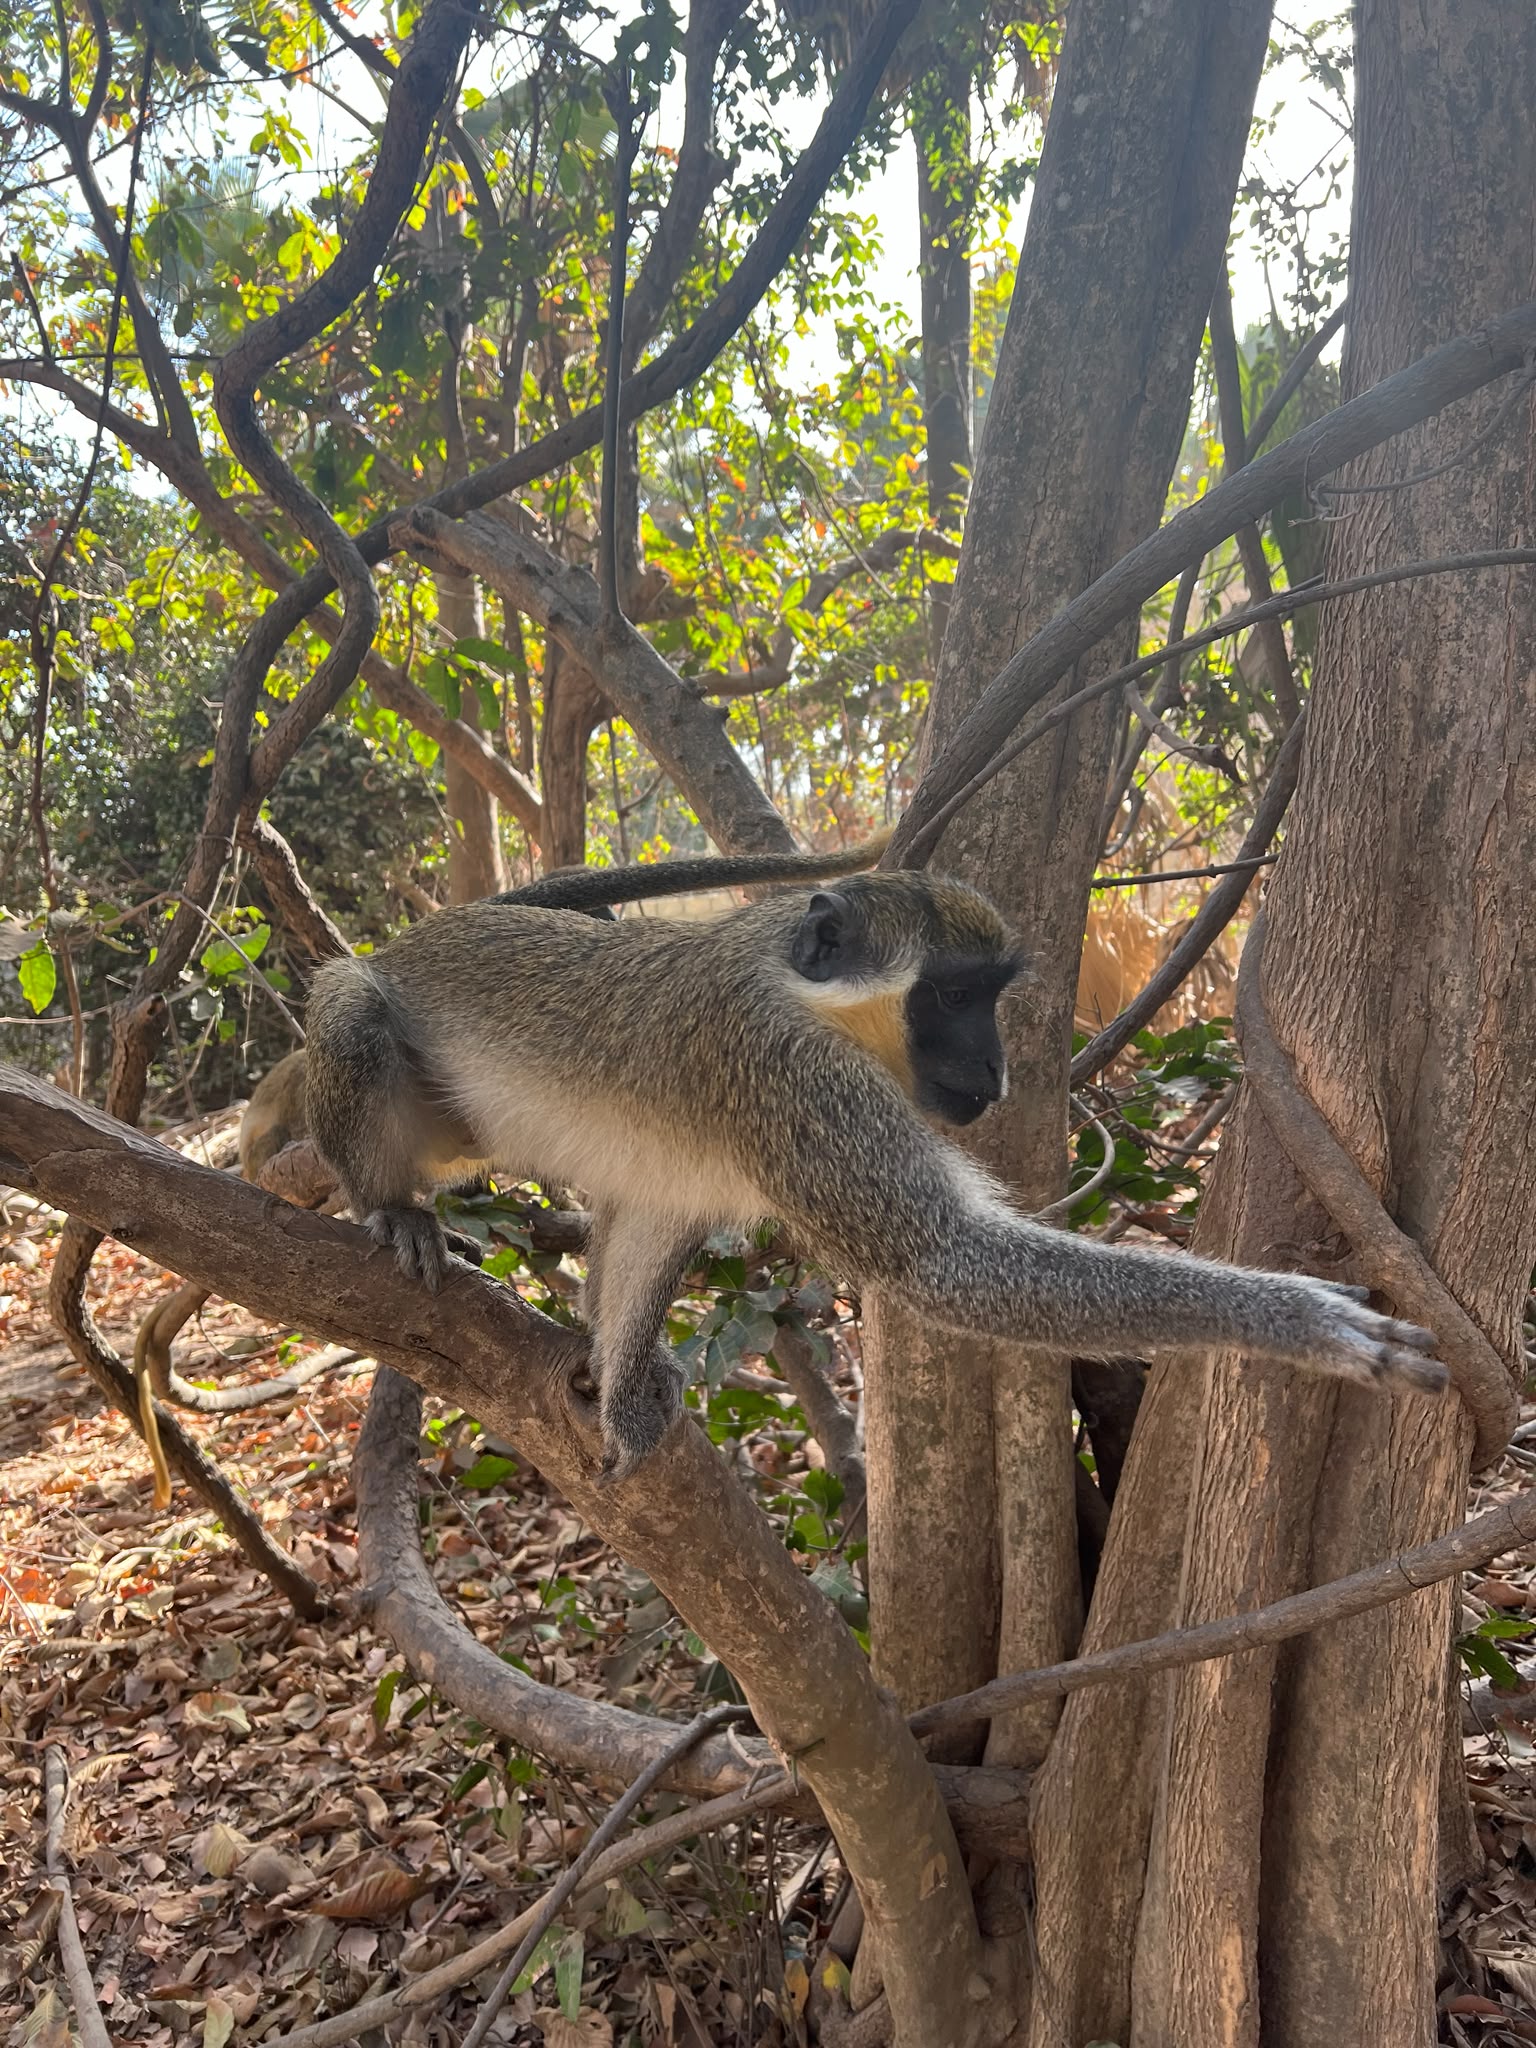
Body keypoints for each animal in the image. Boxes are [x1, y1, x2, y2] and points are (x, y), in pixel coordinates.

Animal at [303, 857, 1450, 1483]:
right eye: (949, 996)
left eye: (991, 994)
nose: (994, 1069)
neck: (800, 989)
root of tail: (415, 936)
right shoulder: (794, 1077)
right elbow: (946, 1261)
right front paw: (1299, 1321)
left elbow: (659, 1221)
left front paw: (622, 1389)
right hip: (376, 1042)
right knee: (353, 1012)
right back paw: (390, 1204)